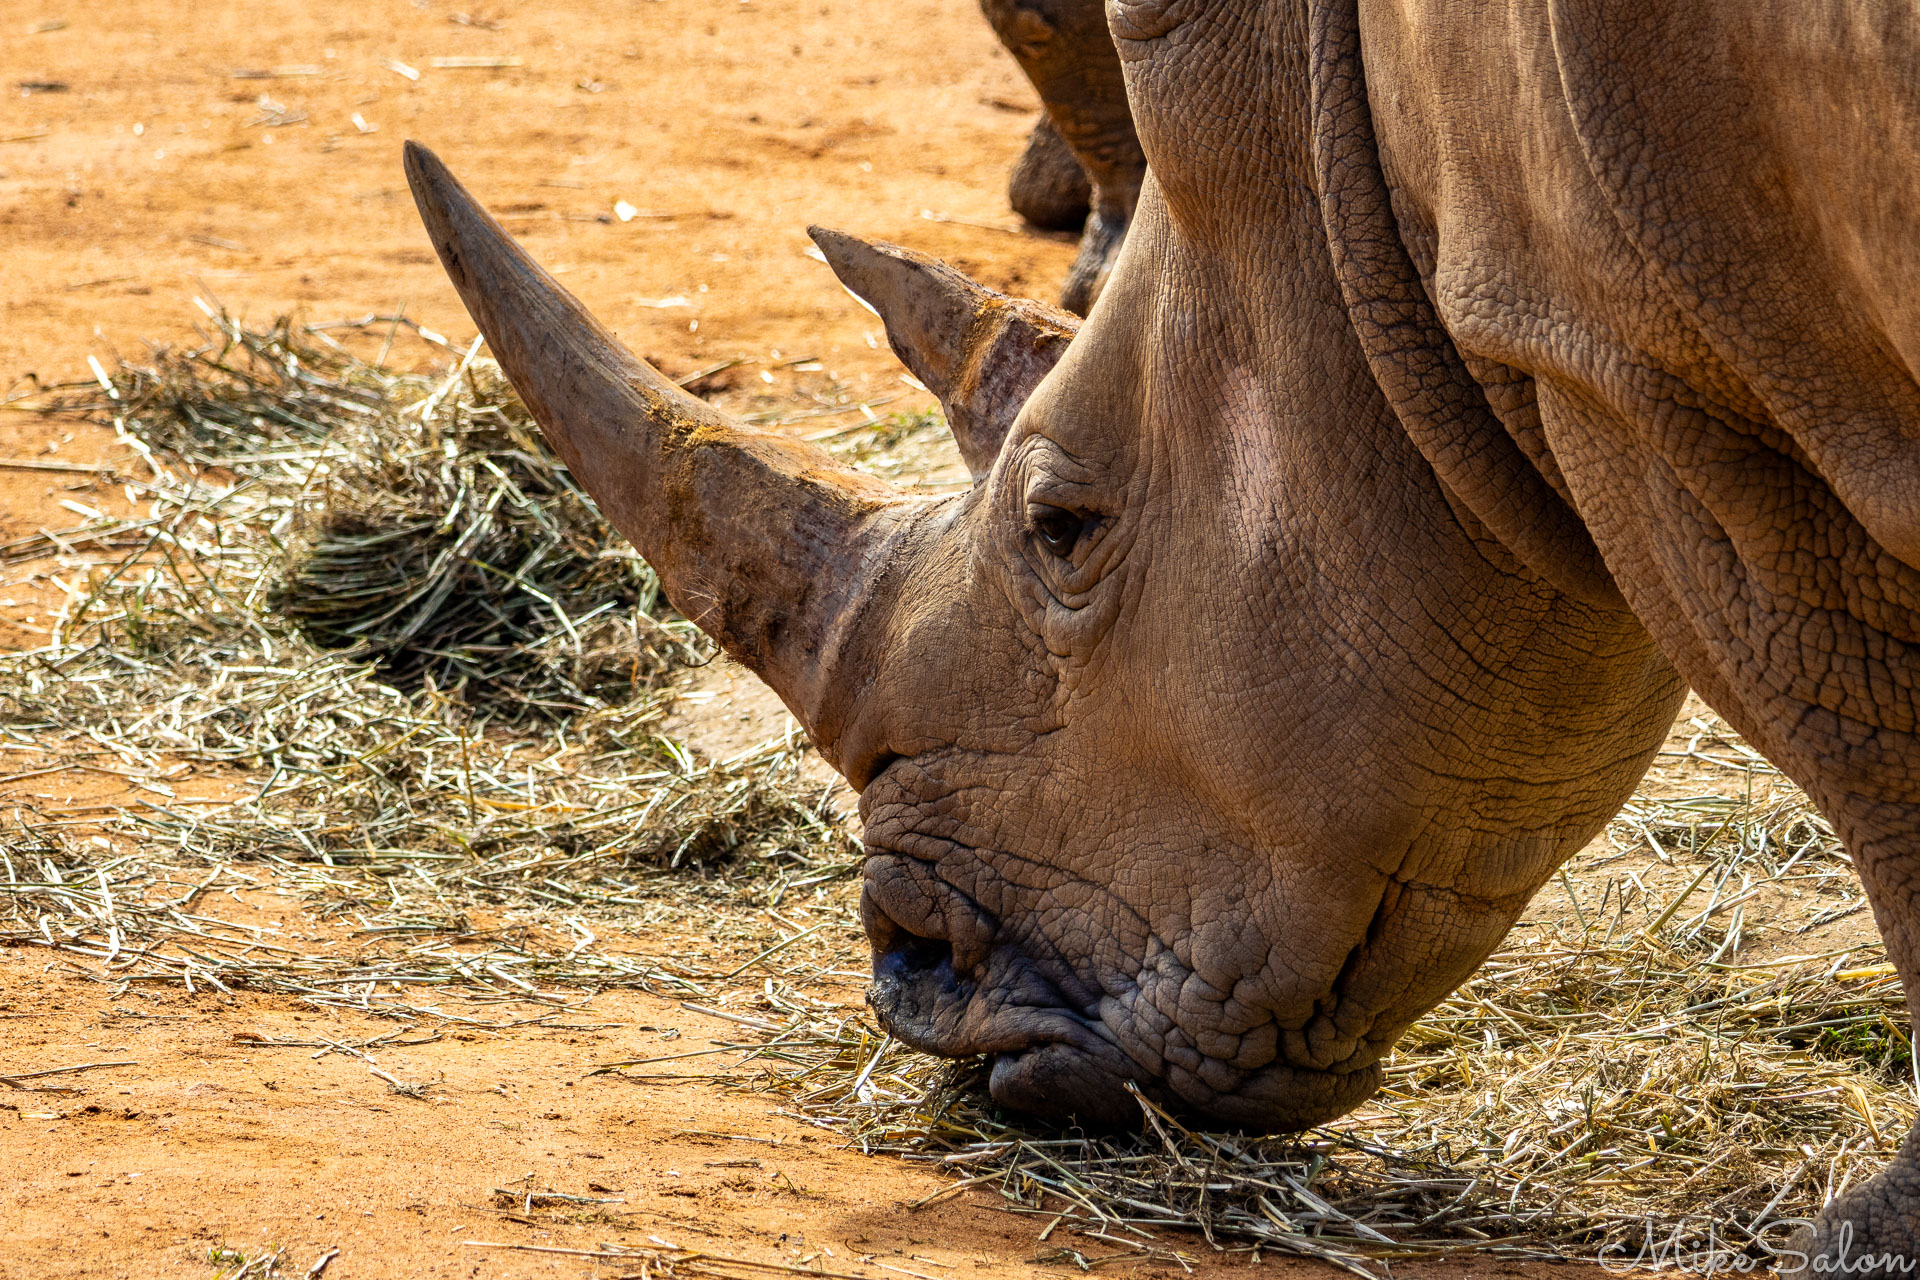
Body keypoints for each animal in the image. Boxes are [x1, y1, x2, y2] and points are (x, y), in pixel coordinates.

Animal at [404, 0, 1920, 1269]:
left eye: (1062, 528)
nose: (914, 975)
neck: (1339, 158)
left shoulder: (1638, 366)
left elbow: (1866, 755)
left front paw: (1866, 1240)